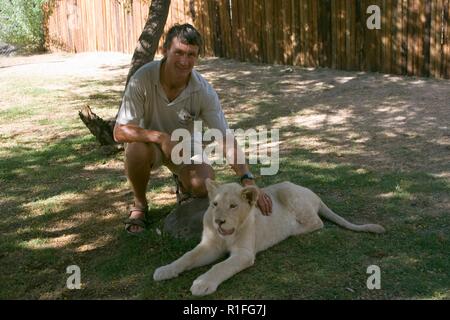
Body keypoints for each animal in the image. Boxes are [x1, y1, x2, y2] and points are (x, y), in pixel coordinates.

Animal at [153, 179, 384, 296]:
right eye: (214, 204)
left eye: (233, 206)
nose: (219, 221)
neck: (227, 234)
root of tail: (314, 194)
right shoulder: (210, 245)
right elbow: (187, 257)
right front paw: (165, 270)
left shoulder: (244, 254)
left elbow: (221, 266)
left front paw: (202, 284)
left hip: (290, 193)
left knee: (316, 223)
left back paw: (291, 229)